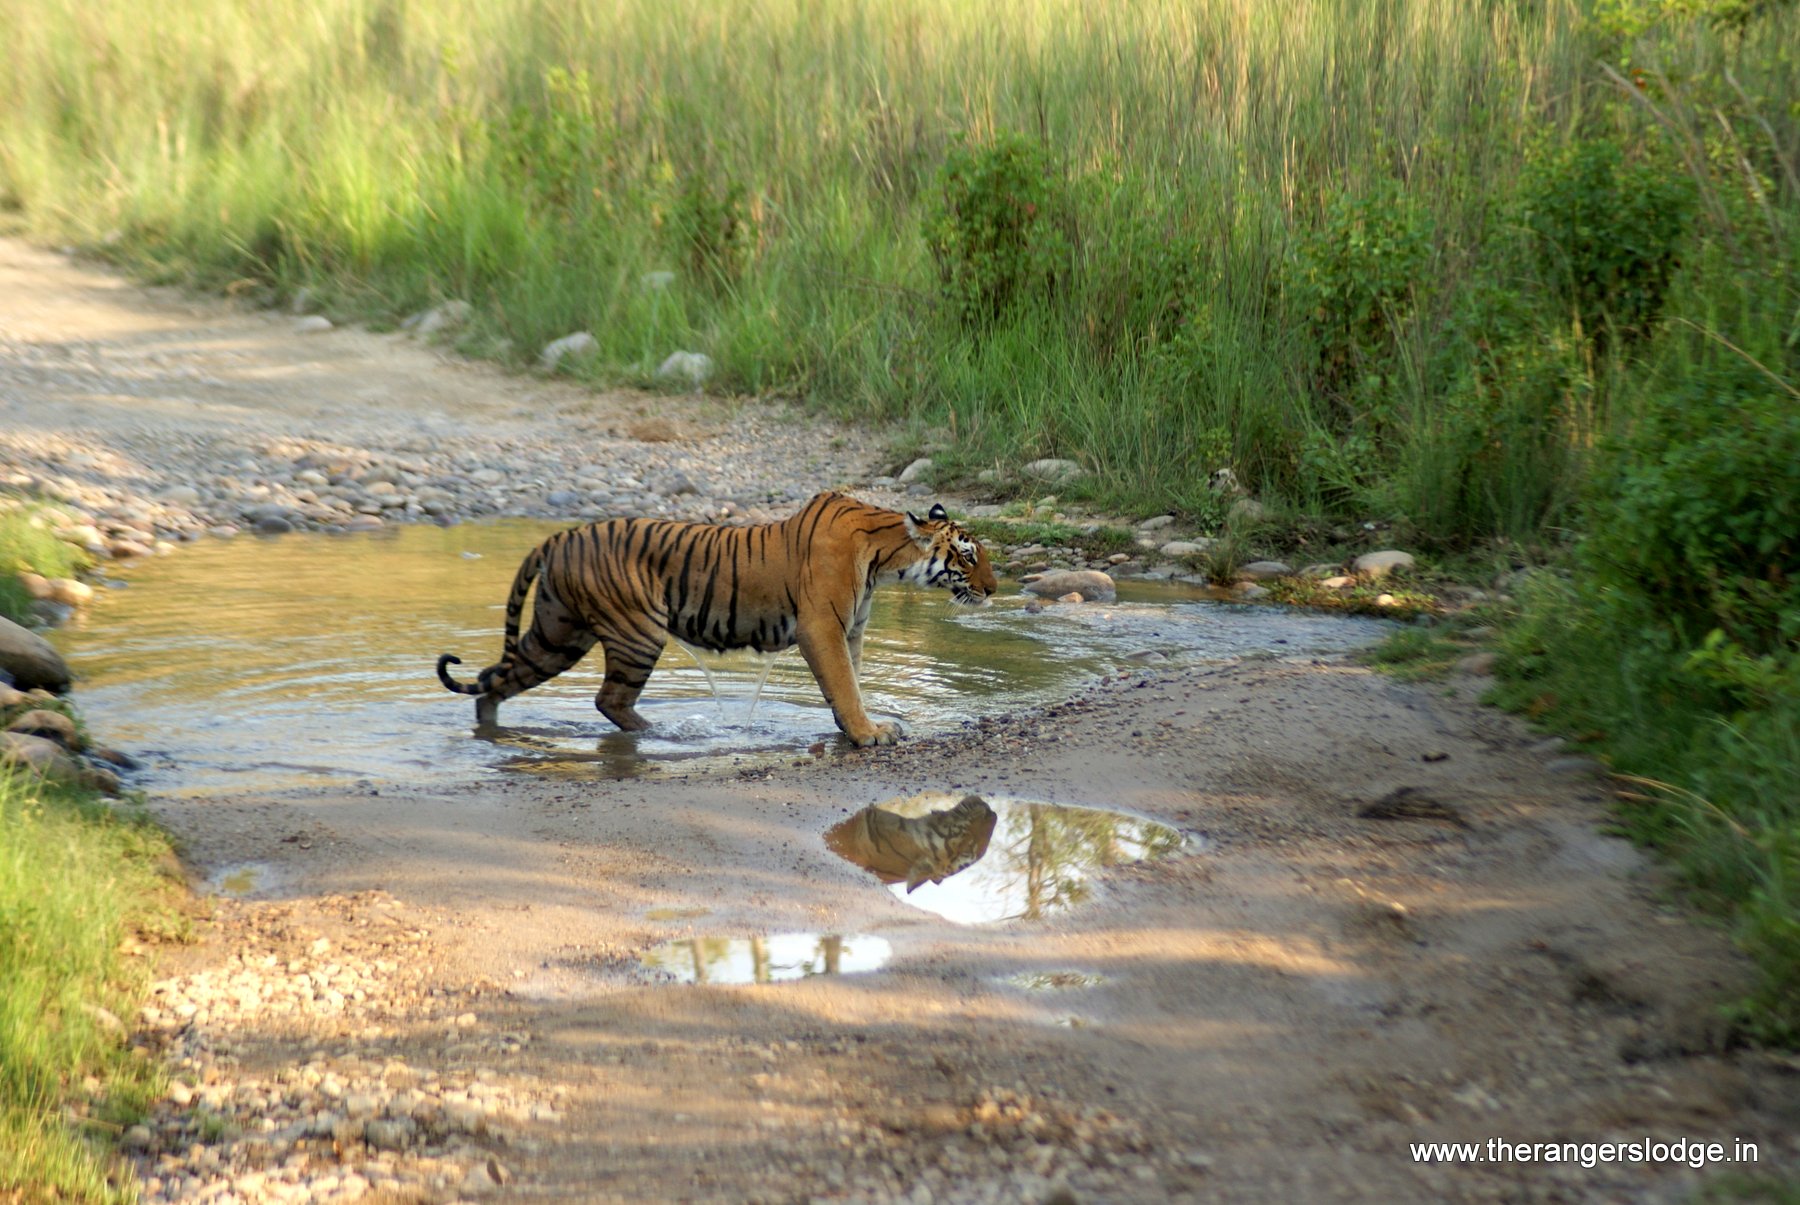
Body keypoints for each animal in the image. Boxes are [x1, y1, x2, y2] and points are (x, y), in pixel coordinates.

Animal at [435, 489, 1000, 742]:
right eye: (968, 556)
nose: (995, 589)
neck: (886, 558)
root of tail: (558, 536)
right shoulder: (823, 627)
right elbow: (843, 683)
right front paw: (867, 734)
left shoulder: (852, 630)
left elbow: (852, 683)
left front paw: (858, 727)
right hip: (637, 632)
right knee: (609, 699)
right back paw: (658, 732)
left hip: (558, 634)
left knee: (495, 676)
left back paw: (490, 727)